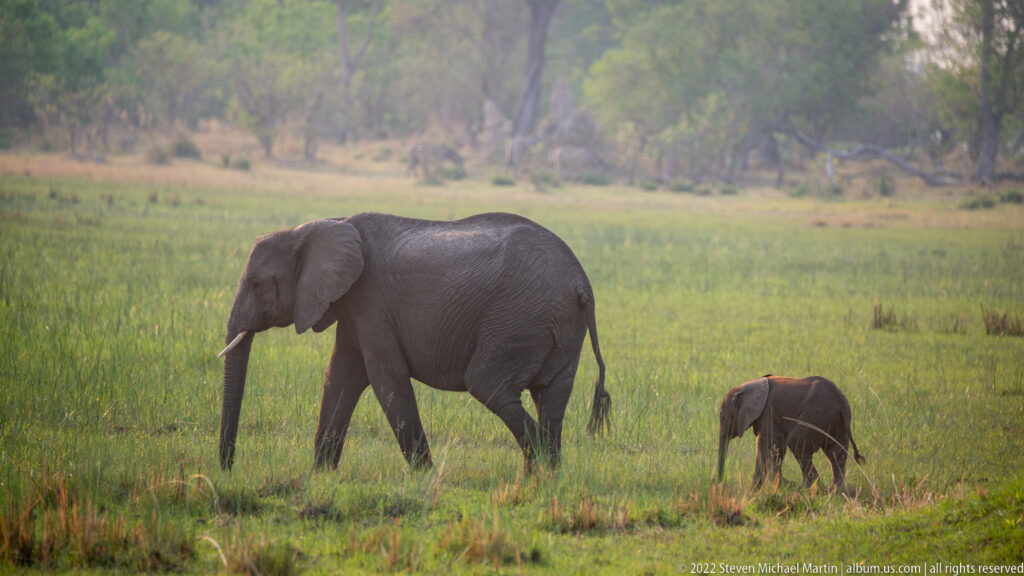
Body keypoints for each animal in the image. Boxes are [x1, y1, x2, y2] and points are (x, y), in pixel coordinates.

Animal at [216, 212, 610, 473]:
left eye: (256, 284)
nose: (227, 468)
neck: (318, 226)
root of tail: (582, 284)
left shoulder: (369, 298)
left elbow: (385, 378)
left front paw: (425, 478)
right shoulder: (353, 305)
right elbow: (341, 376)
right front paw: (320, 477)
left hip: (518, 318)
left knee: (488, 384)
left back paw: (540, 473)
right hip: (558, 326)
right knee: (552, 397)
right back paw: (545, 479)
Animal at [716, 375, 865, 490]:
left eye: (722, 417)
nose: (720, 484)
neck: (748, 386)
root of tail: (841, 403)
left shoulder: (768, 412)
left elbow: (774, 446)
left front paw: (777, 486)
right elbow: (761, 447)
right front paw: (753, 492)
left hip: (815, 416)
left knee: (797, 442)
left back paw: (811, 489)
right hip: (837, 422)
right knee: (836, 452)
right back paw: (837, 490)